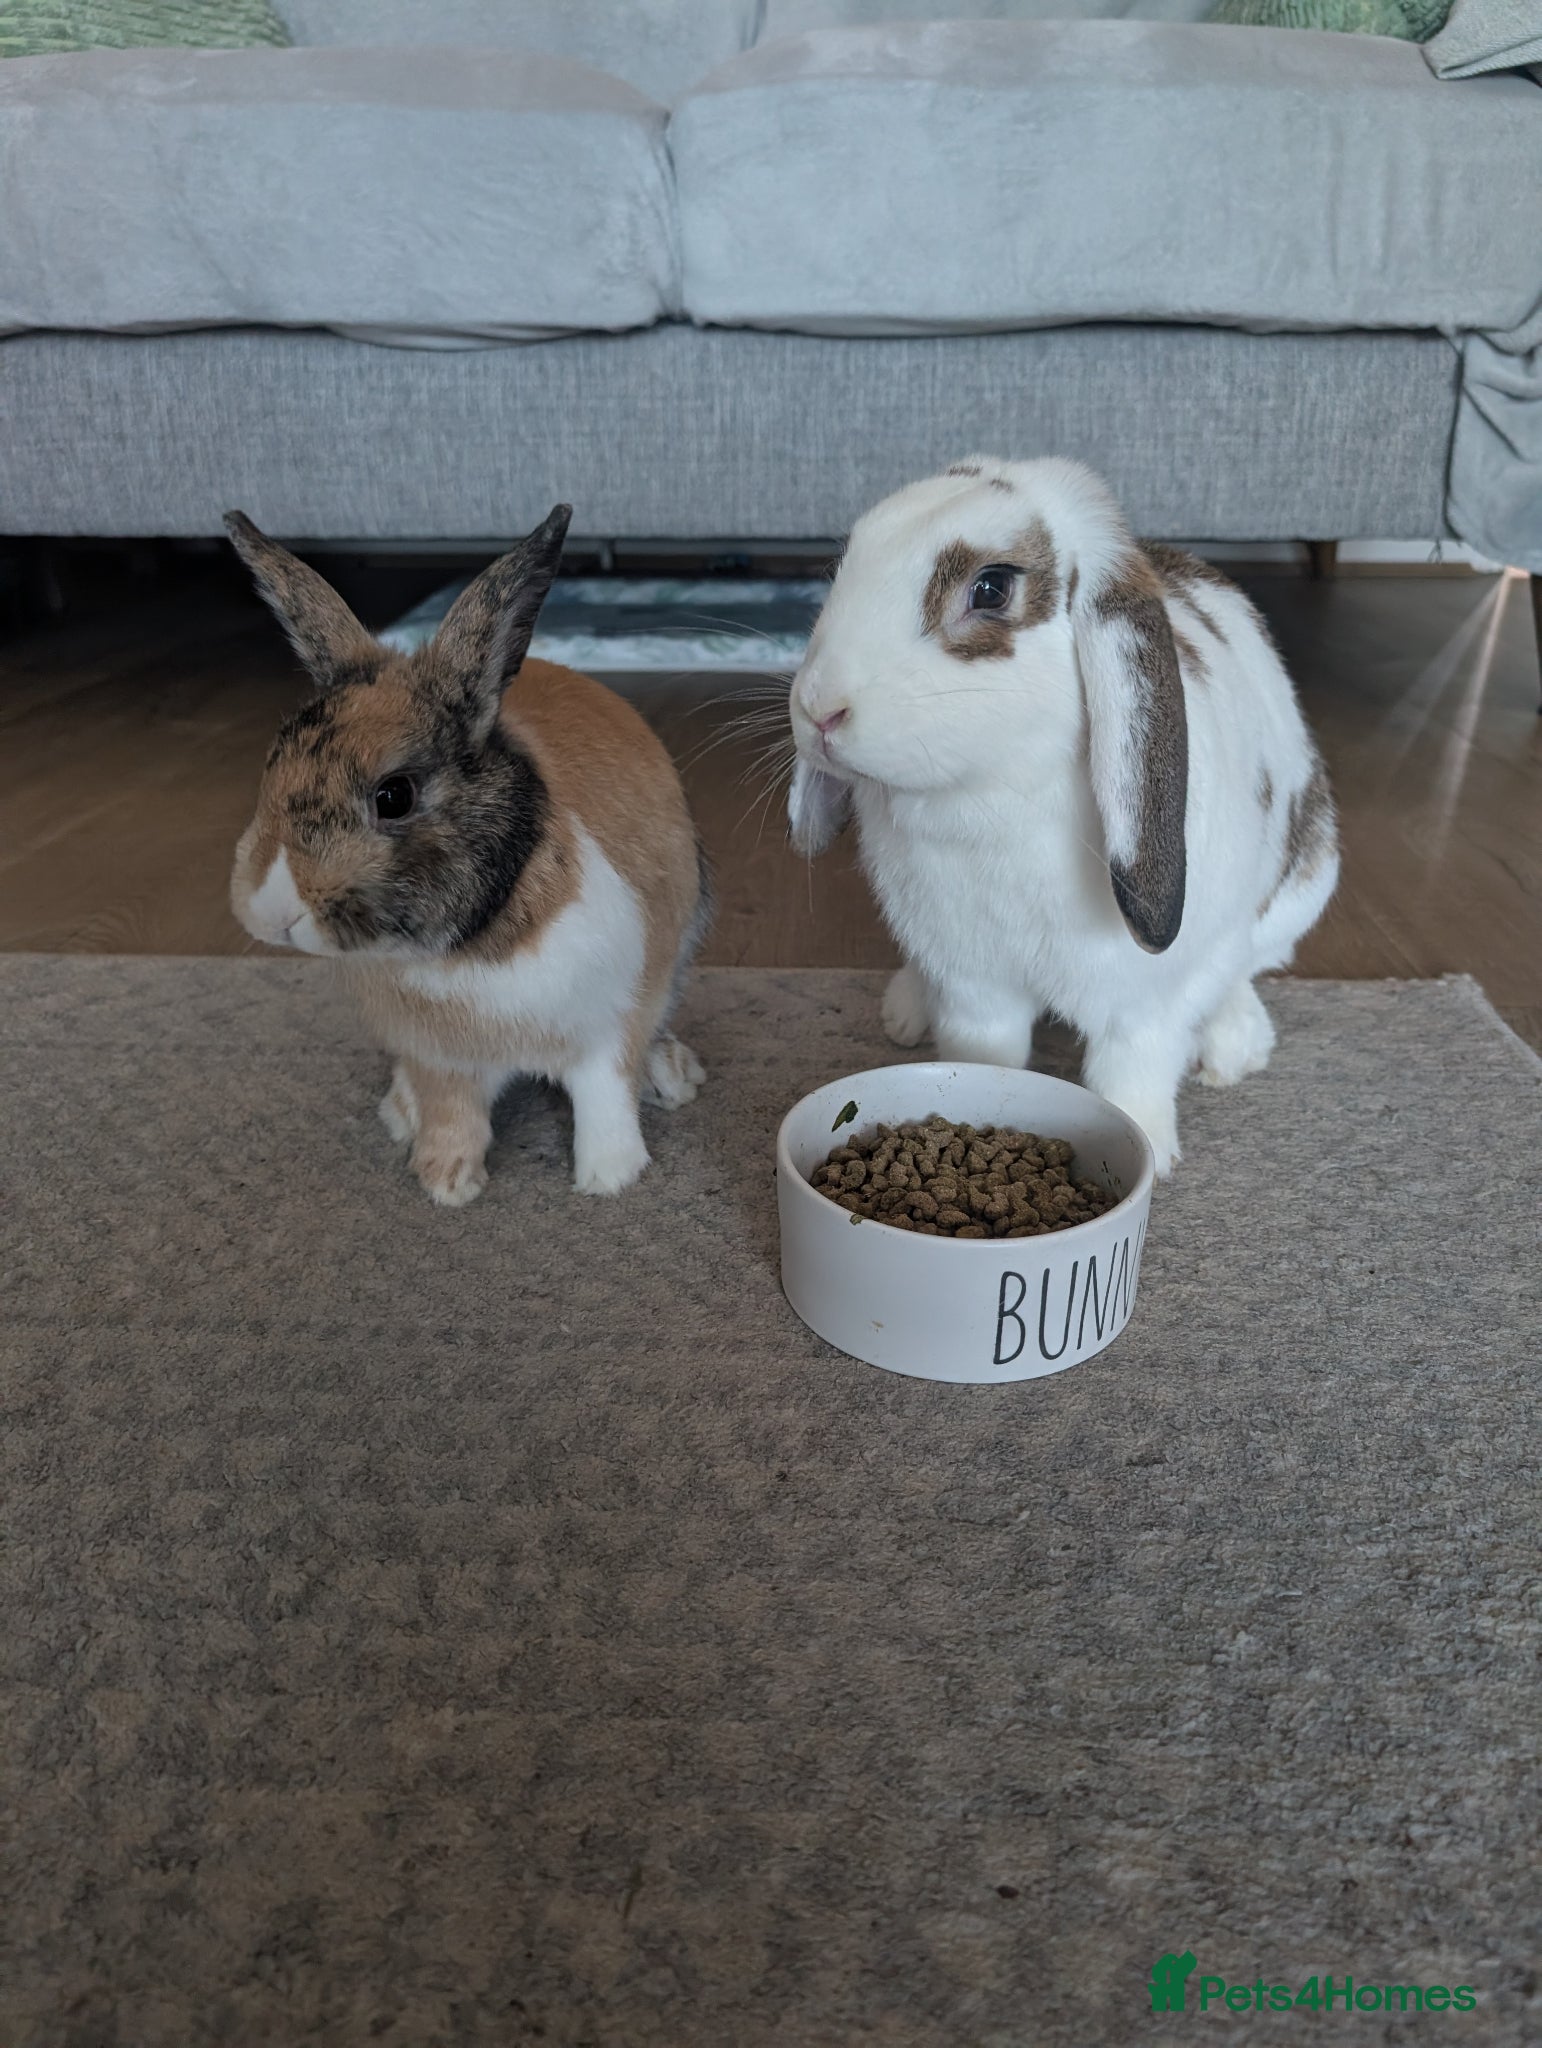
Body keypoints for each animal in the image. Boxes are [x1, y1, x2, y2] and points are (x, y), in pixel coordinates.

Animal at [227, 504, 710, 1207]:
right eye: (272, 764)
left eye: (394, 795)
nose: (269, 912)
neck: (472, 943)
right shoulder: (440, 1055)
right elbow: (452, 1110)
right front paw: (448, 1182)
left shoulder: (615, 1015)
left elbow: (605, 1095)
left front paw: (610, 1178)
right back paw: (399, 1111)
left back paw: (674, 1077)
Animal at [786, 456, 1338, 1175]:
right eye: (847, 562)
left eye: (991, 588)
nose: (818, 708)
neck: (989, 797)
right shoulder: (973, 981)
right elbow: (984, 1051)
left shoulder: (1143, 1002)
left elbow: (1131, 1068)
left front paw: (1150, 1151)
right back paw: (906, 1011)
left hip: (1302, 887)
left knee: (1243, 968)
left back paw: (1232, 1049)